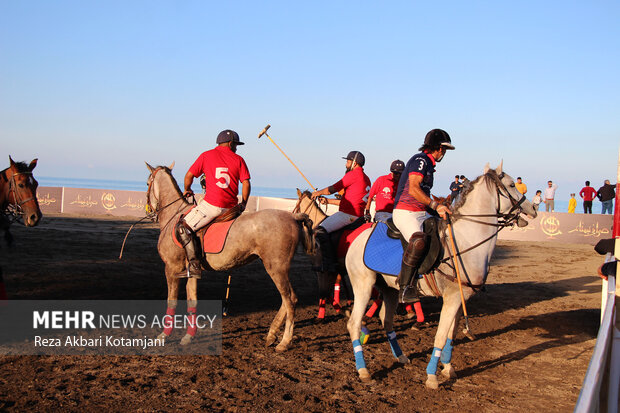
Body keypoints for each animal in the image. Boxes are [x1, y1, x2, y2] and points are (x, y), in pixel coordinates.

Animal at [146, 163, 314, 350]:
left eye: (147, 183)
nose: (150, 211)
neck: (173, 214)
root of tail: (293, 216)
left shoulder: (171, 268)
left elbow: (172, 300)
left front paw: (163, 336)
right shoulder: (190, 271)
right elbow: (192, 300)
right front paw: (188, 337)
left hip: (276, 267)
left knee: (290, 299)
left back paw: (284, 342)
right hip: (278, 267)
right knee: (287, 299)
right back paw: (271, 335)